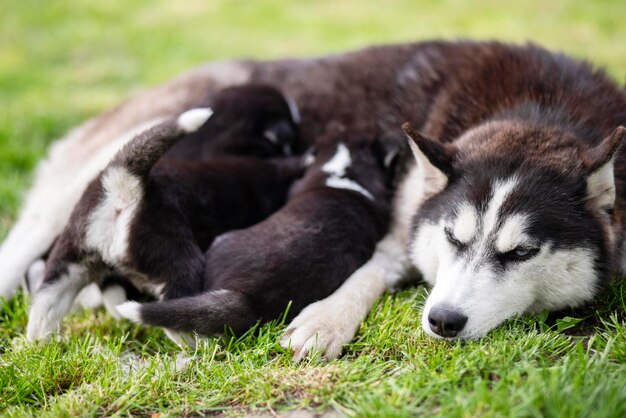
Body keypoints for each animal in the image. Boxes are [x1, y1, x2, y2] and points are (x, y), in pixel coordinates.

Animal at [25, 109, 304, 342]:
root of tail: (127, 188)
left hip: (71, 257)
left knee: (45, 302)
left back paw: (41, 343)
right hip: (180, 262)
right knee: (174, 317)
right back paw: (203, 346)